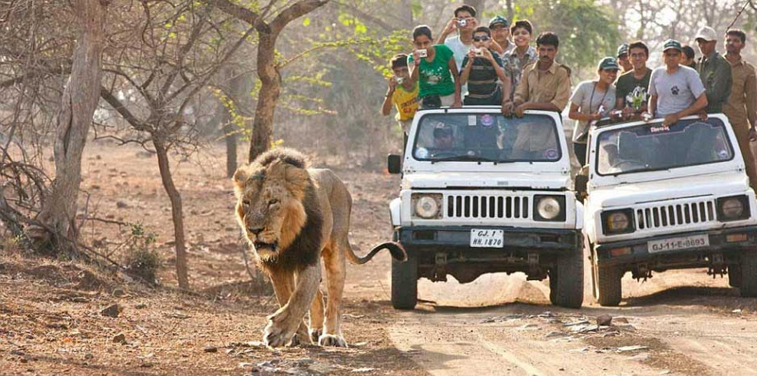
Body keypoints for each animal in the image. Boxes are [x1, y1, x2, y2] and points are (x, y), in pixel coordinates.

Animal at [233, 148, 404, 348]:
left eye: (273, 202)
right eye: (246, 202)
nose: (254, 230)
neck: (286, 239)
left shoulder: (308, 258)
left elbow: (300, 297)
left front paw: (278, 332)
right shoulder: (277, 267)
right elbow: (287, 297)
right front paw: (297, 335)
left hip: (336, 251)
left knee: (334, 301)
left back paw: (331, 335)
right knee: (319, 297)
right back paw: (314, 330)